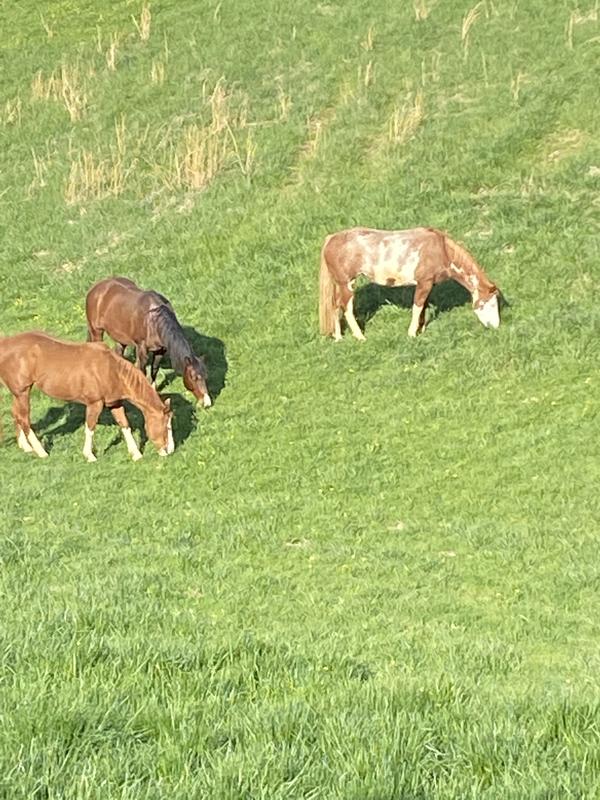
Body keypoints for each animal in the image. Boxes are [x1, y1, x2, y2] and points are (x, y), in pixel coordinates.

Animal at [0, 332, 174, 462]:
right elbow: (90, 427)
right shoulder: (94, 403)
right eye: (166, 425)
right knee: (24, 418)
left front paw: (136, 454)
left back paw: (26, 447)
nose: (169, 451)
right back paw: (41, 451)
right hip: (22, 392)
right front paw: (89, 455)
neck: (111, 369)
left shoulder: (114, 403)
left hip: (18, 393)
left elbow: (125, 425)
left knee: (16, 414)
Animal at [85, 277, 212, 408]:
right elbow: (142, 371)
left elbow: (154, 370)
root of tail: (96, 287)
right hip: (96, 331)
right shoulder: (142, 349)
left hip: (120, 338)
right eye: (194, 377)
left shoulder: (160, 350)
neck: (153, 320)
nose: (207, 403)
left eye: (205, 376)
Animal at [319, 227, 500, 340]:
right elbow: (417, 307)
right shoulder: (424, 282)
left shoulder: (428, 284)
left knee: (335, 306)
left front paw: (422, 329)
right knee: (346, 309)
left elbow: (423, 307)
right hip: (347, 284)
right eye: (490, 304)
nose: (495, 327)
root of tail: (331, 239)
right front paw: (412, 334)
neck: (441, 250)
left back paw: (339, 337)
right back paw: (360, 337)